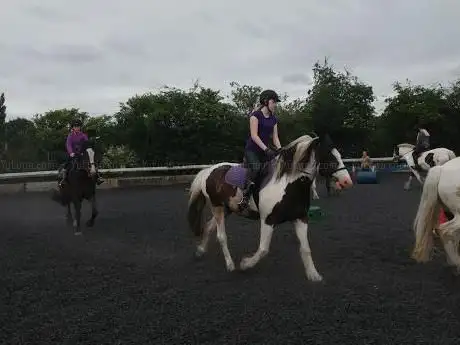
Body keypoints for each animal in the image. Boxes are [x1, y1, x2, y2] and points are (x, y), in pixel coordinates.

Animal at [187, 133, 352, 280]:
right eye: (330, 157)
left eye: (339, 156)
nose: (347, 181)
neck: (288, 185)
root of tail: (208, 170)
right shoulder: (268, 220)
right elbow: (263, 249)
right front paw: (245, 264)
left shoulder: (301, 218)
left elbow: (305, 248)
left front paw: (313, 275)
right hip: (217, 207)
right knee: (221, 237)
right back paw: (230, 265)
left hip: (227, 209)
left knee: (208, 227)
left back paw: (200, 251)